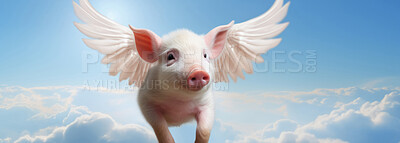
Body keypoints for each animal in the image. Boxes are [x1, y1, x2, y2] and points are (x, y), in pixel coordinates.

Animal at [73, 0, 290, 142]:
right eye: (170, 56)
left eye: (205, 55)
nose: (197, 71)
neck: (179, 104)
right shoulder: (146, 102)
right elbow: (161, 129)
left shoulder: (207, 104)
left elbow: (204, 129)